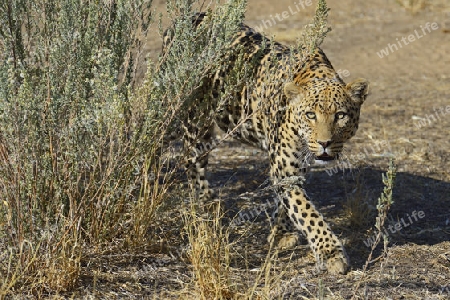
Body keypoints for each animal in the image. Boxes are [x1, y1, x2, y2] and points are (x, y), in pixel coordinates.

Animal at [162, 13, 370, 274]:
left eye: (340, 115)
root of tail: (193, 16)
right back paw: (204, 206)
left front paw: (282, 234)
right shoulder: (284, 166)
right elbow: (308, 212)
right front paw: (331, 253)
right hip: (191, 118)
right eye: (310, 115)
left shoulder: (295, 167)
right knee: (187, 159)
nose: (325, 143)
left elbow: (291, 205)